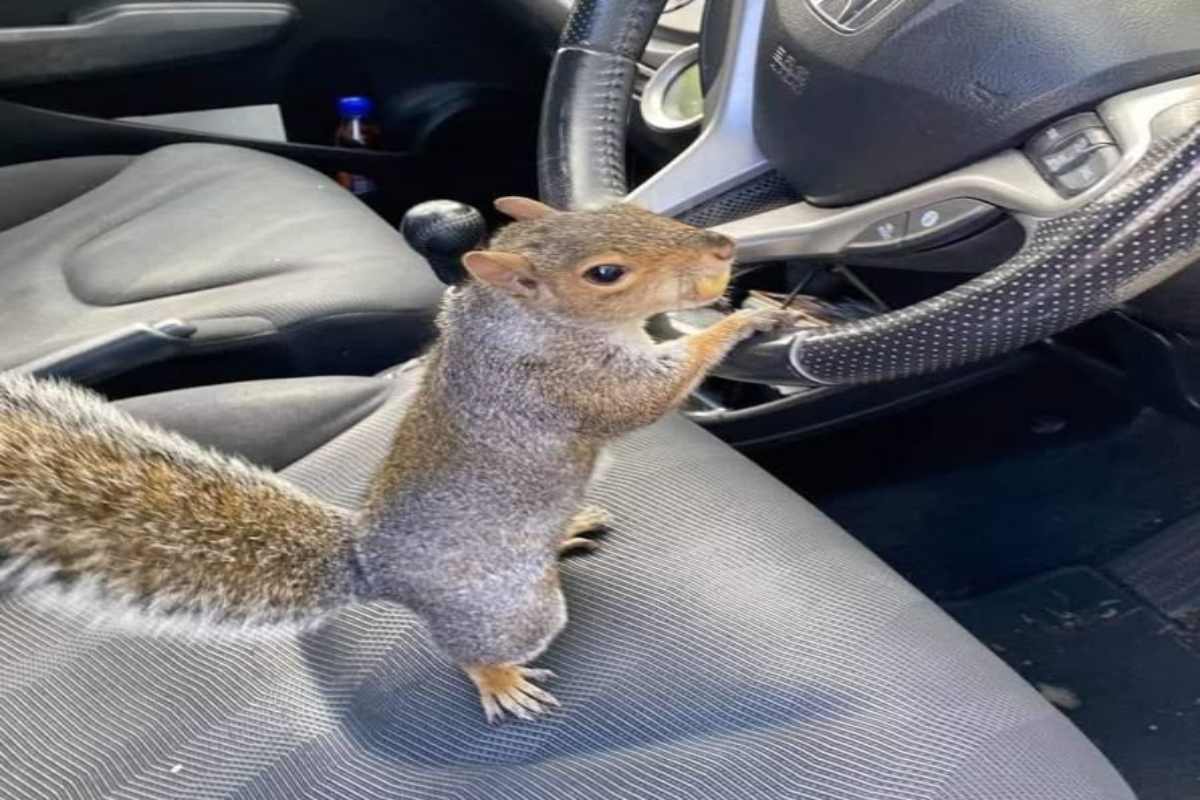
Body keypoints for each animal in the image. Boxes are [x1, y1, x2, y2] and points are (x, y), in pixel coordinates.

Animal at [0, 196, 800, 722]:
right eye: (605, 274)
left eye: (628, 203)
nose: (723, 247)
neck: (515, 319)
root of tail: (375, 565)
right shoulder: (568, 383)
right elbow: (654, 393)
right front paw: (744, 320)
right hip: (515, 609)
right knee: (477, 649)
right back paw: (499, 679)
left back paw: (568, 528)